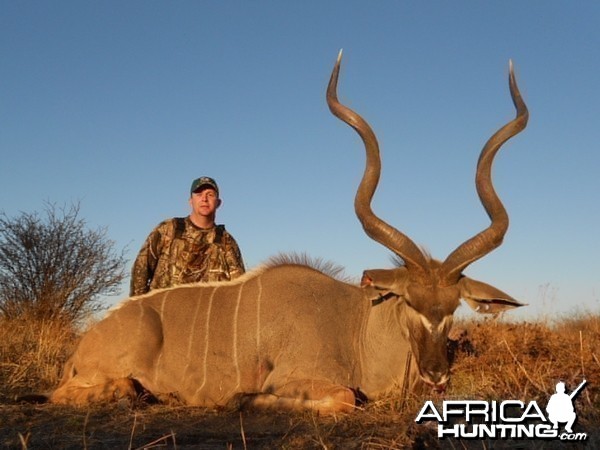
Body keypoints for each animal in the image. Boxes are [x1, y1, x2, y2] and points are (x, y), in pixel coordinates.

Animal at [51, 51, 528, 412]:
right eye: (409, 301)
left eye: (453, 307)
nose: (436, 375)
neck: (355, 324)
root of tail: (83, 344)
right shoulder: (299, 378)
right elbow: (342, 398)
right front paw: (242, 399)